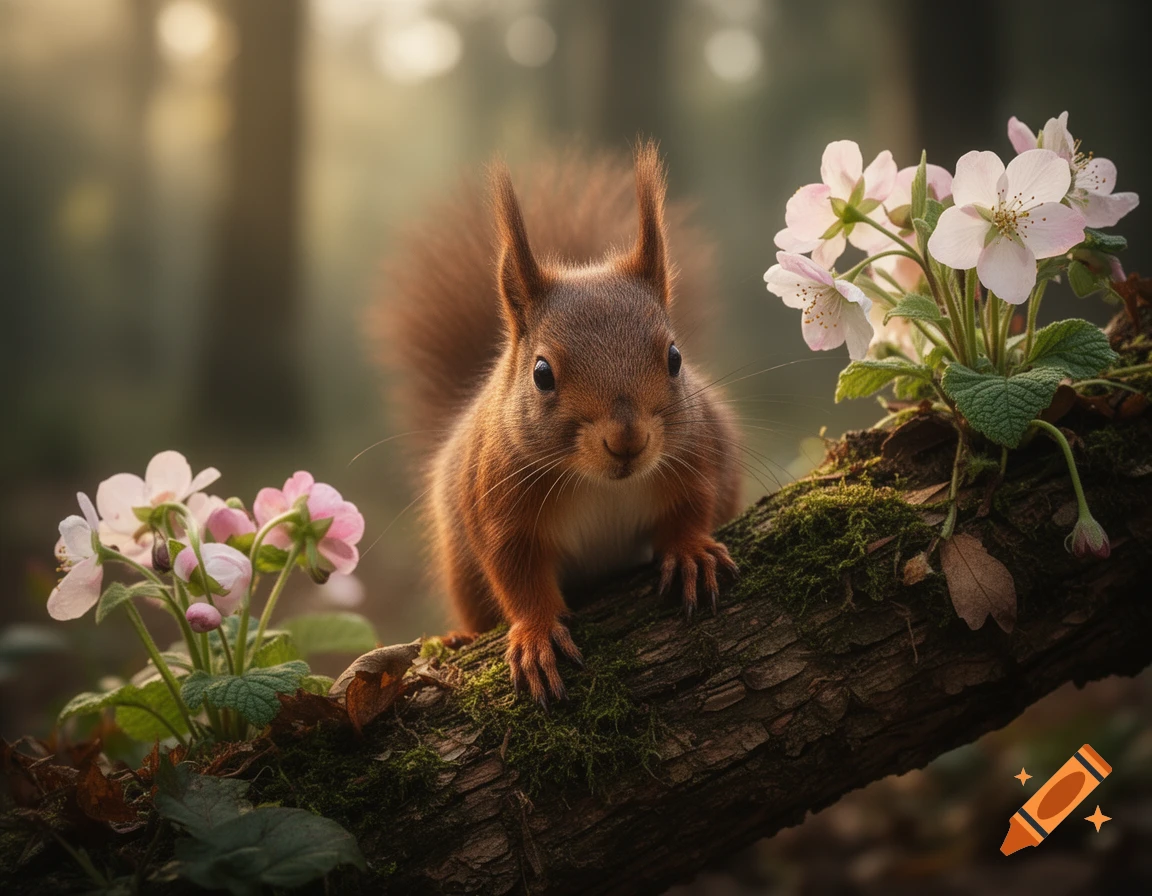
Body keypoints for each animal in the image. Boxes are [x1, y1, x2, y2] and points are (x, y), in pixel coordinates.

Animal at [374, 143, 742, 705]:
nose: (627, 441)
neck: (602, 484)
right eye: (541, 373)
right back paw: (459, 637)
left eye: (675, 358)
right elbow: (515, 573)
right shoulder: (499, 502)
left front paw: (690, 551)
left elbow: (693, 506)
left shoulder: (696, 455)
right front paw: (537, 633)